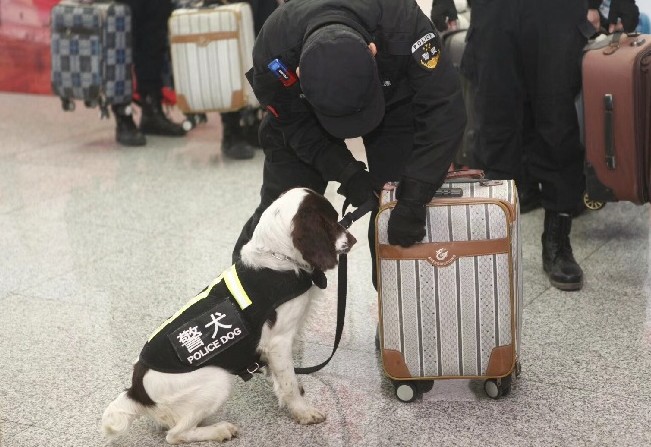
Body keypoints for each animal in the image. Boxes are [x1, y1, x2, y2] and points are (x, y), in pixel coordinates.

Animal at [102, 188, 356, 444]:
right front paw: (303, 411)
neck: (277, 259)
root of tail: (136, 392)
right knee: (175, 434)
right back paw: (220, 430)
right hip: (218, 379)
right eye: (331, 220)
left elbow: (280, 376)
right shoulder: (279, 341)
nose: (354, 240)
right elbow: (289, 383)